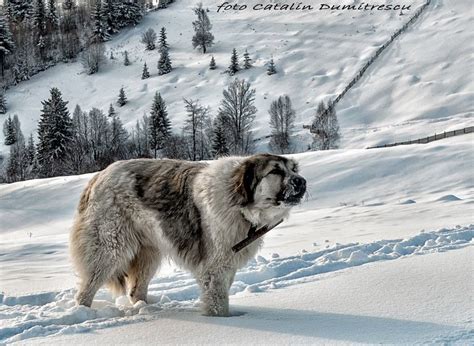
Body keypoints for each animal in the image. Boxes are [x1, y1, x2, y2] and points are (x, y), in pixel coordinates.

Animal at [70, 154, 308, 316]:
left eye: (294, 169)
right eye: (275, 171)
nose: (302, 181)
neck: (238, 203)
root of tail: (98, 177)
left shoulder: (227, 264)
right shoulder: (214, 269)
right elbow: (218, 302)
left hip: (149, 253)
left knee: (136, 290)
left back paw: (145, 308)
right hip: (109, 248)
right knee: (87, 289)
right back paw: (84, 313)